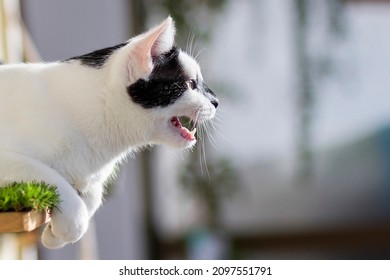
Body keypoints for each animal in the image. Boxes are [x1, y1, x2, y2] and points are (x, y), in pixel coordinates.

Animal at [0, 17, 216, 248]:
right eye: (191, 84)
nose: (216, 101)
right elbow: (54, 181)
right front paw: (67, 225)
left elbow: (93, 196)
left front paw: (54, 235)